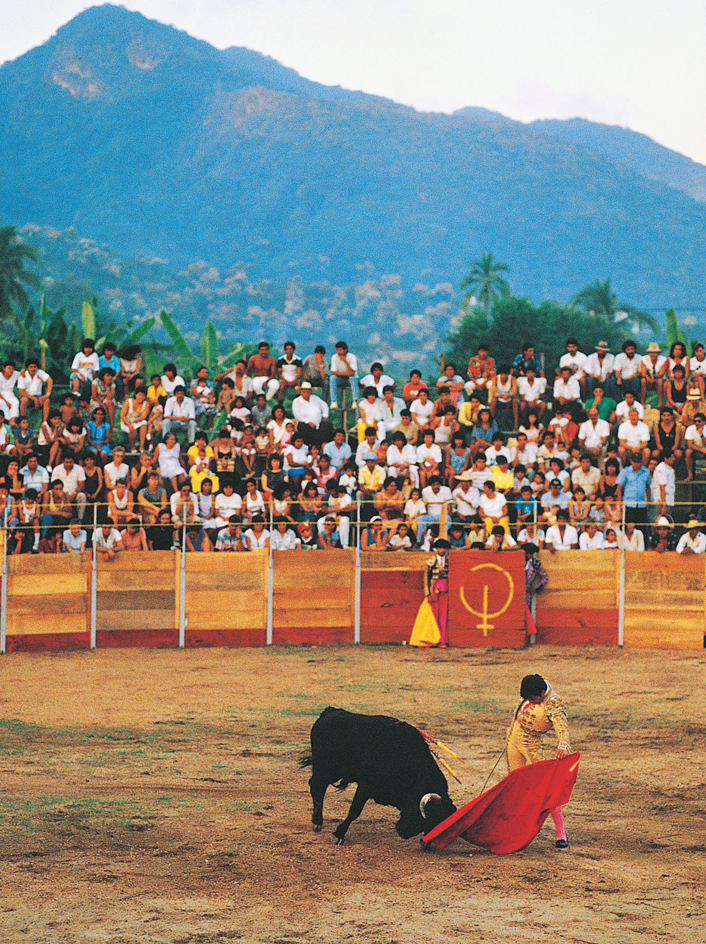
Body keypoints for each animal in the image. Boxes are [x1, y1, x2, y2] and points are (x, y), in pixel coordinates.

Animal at [298, 708, 454, 840]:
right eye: (427, 815)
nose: (402, 833)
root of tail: (328, 712)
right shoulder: (365, 786)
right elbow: (355, 811)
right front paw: (339, 834)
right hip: (327, 768)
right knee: (316, 785)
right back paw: (317, 821)